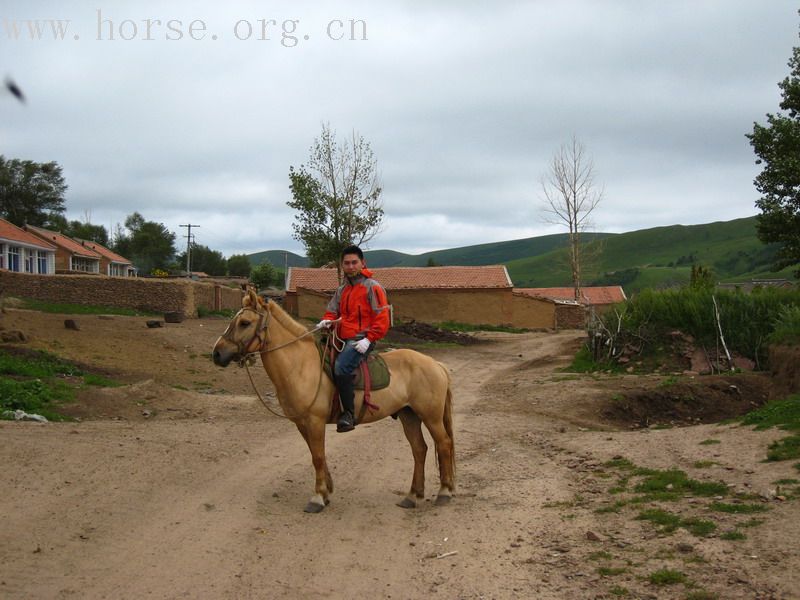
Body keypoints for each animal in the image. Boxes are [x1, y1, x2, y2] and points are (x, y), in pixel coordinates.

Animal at [209, 288, 456, 512]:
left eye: (245, 323)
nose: (217, 354)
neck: (300, 365)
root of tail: (436, 364)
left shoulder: (315, 421)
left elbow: (318, 456)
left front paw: (318, 497)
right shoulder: (302, 423)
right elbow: (315, 454)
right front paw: (327, 491)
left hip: (431, 417)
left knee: (444, 444)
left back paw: (444, 492)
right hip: (409, 415)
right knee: (419, 449)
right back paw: (413, 496)